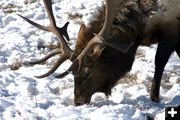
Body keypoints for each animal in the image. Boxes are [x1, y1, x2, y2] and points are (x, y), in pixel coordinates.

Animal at [18, 0, 180, 105]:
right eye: (73, 75)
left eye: (89, 72)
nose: (78, 102)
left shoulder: (171, 31)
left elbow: (159, 62)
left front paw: (155, 98)